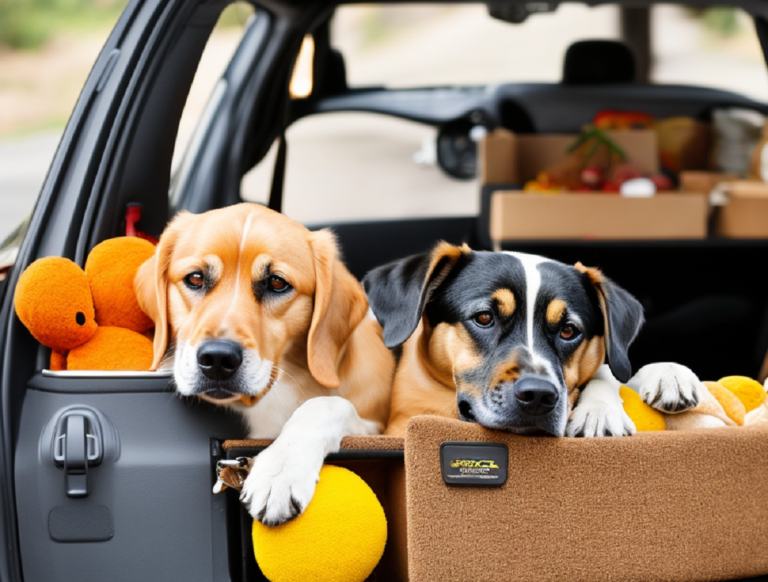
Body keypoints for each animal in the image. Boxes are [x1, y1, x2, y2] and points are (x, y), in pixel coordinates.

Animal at [134, 203, 392, 528]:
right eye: (195, 278)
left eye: (277, 283)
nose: (217, 359)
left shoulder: (375, 428)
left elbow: (326, 404)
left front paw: (280, 470)